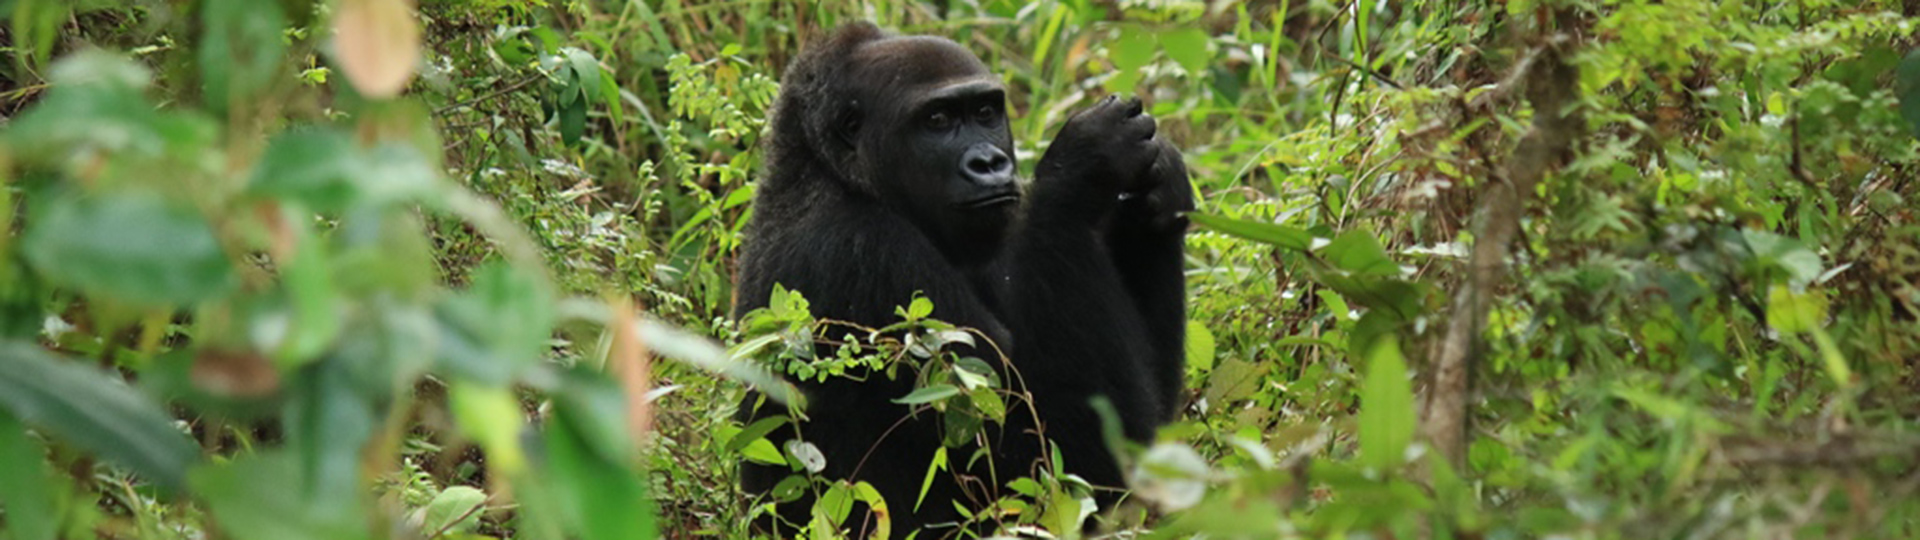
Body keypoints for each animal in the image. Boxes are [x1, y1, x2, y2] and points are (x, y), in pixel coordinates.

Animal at [737, 22, 1198, 534]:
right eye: (937, 120)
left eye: (984, 112)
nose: (990, 164)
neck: (832, 173)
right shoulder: (868, 255)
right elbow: (1067, 463)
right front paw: (1085, 167)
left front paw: (1159, 196)